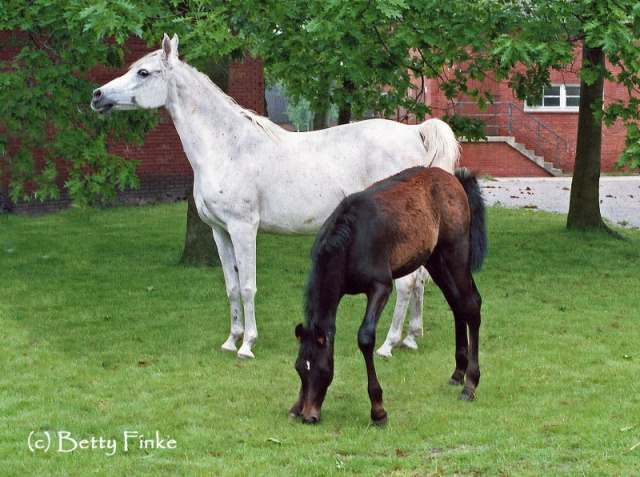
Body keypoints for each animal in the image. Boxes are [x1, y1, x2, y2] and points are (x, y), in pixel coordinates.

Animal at [91, 33, 460, 356]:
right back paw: (409, 339)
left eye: (143, 72)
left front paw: (247, 346)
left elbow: (248, 286)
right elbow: (231, 287)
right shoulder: (219, 231)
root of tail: (415, 133)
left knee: (407, 283)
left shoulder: (243, 228)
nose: (97, 95)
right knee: (419, 280)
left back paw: (387, 345)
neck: (227, 146)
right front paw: (231, 340)